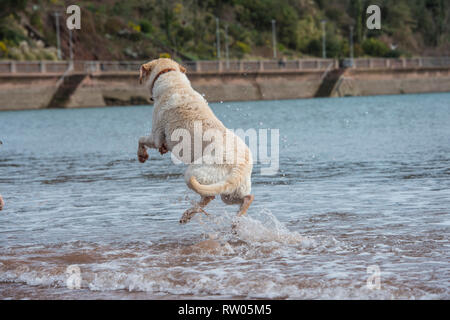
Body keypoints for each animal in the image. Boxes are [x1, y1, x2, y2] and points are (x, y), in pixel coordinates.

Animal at [137, 58, 253, 222]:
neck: (172, 78)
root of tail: (240, 164)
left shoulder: (156, 135)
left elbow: (141, 139)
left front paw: (142, 155)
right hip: (230, 190)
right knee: (245, 198)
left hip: (195, 174)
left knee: (208, 196)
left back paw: (189, 214)